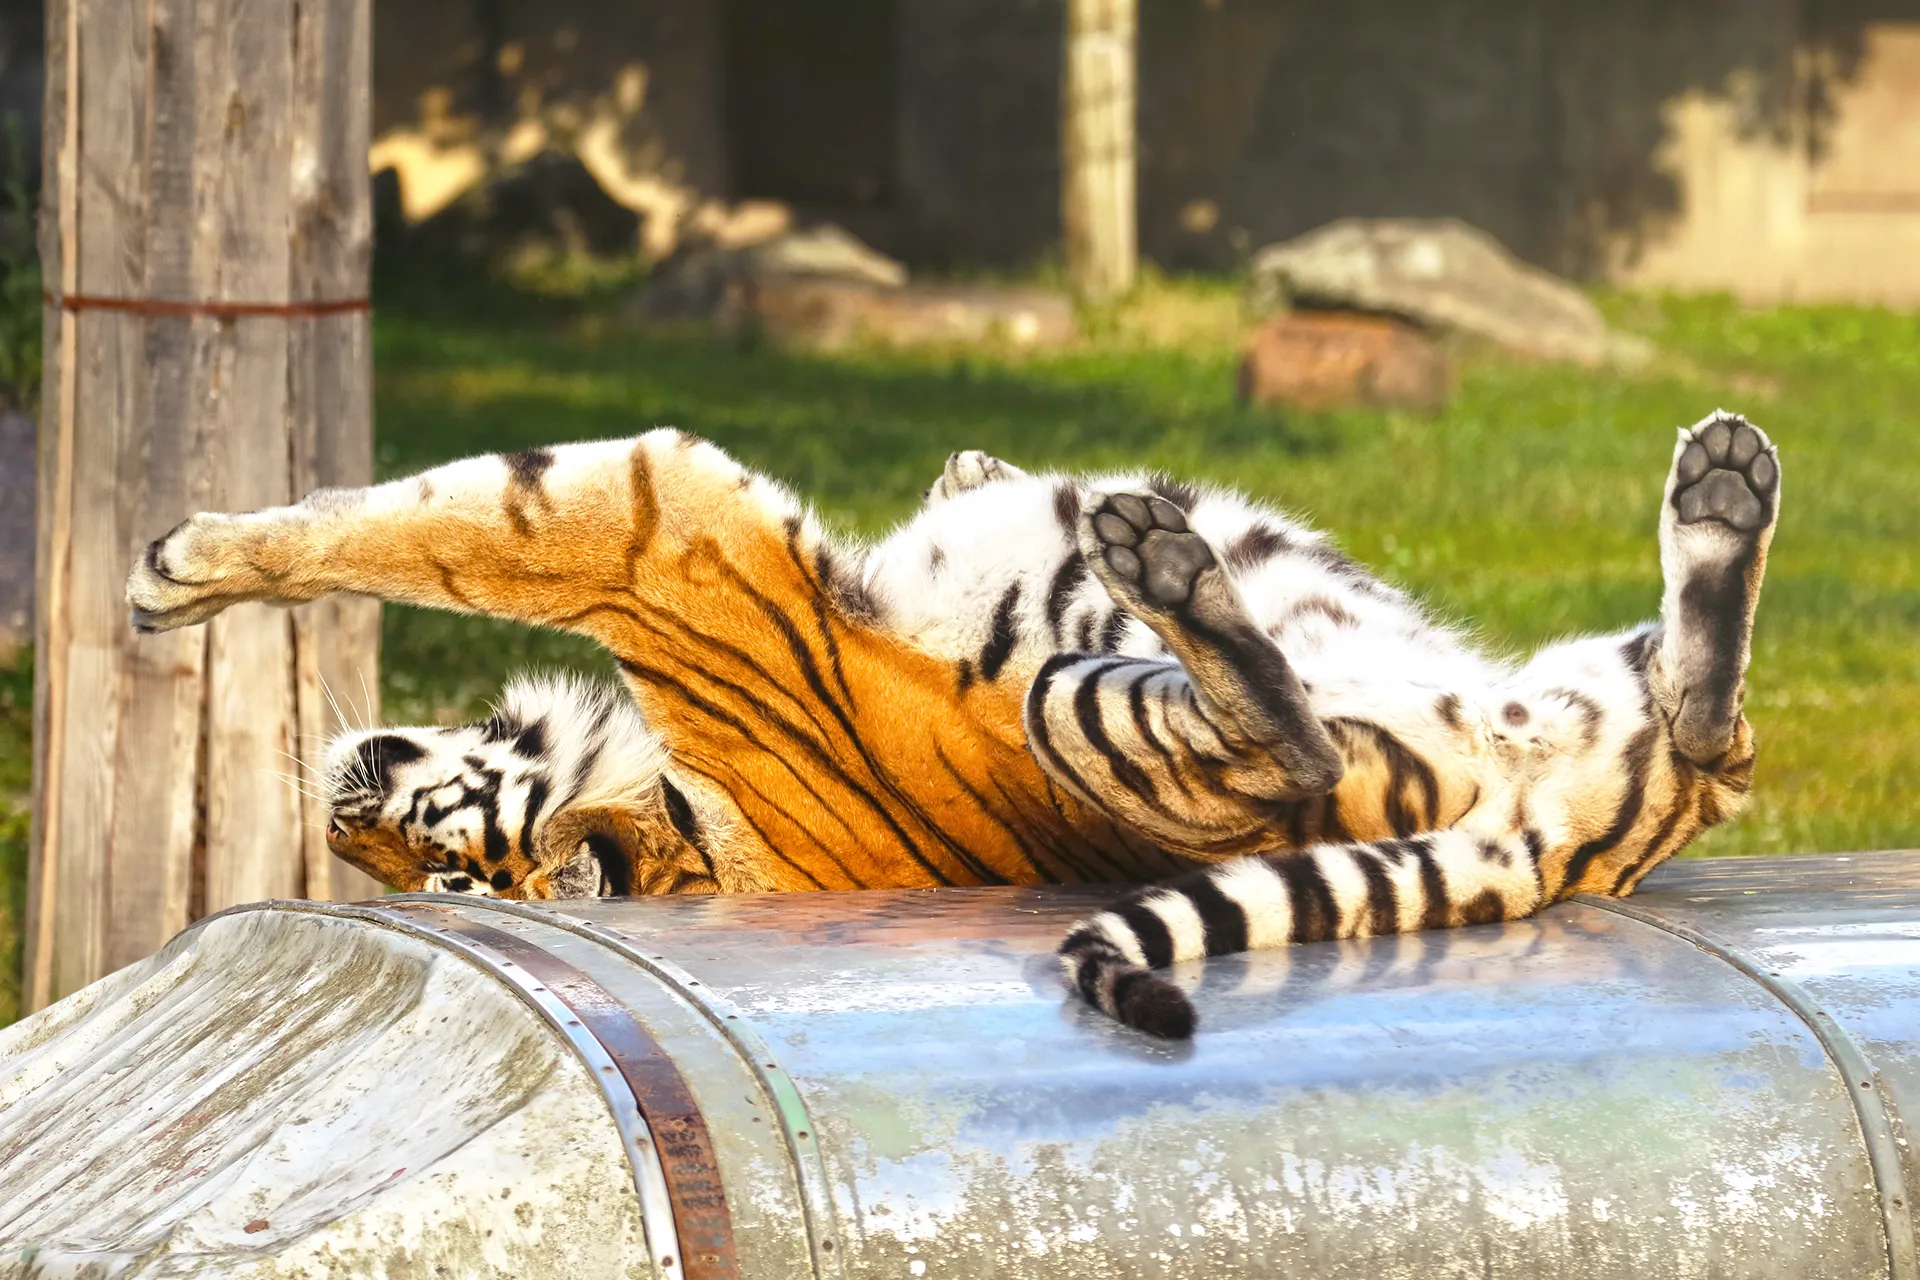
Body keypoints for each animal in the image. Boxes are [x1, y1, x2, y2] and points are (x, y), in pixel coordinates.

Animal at [125, 411, 1779, 1039]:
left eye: (424, 854)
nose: (342, 805)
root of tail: (1561, 843)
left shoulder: (652, 524)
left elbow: (428, 523)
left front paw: (177, 567)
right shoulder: (660, 521)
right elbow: (432, 523)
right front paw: (194, 568)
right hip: (1097, 709)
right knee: (1311, 738)